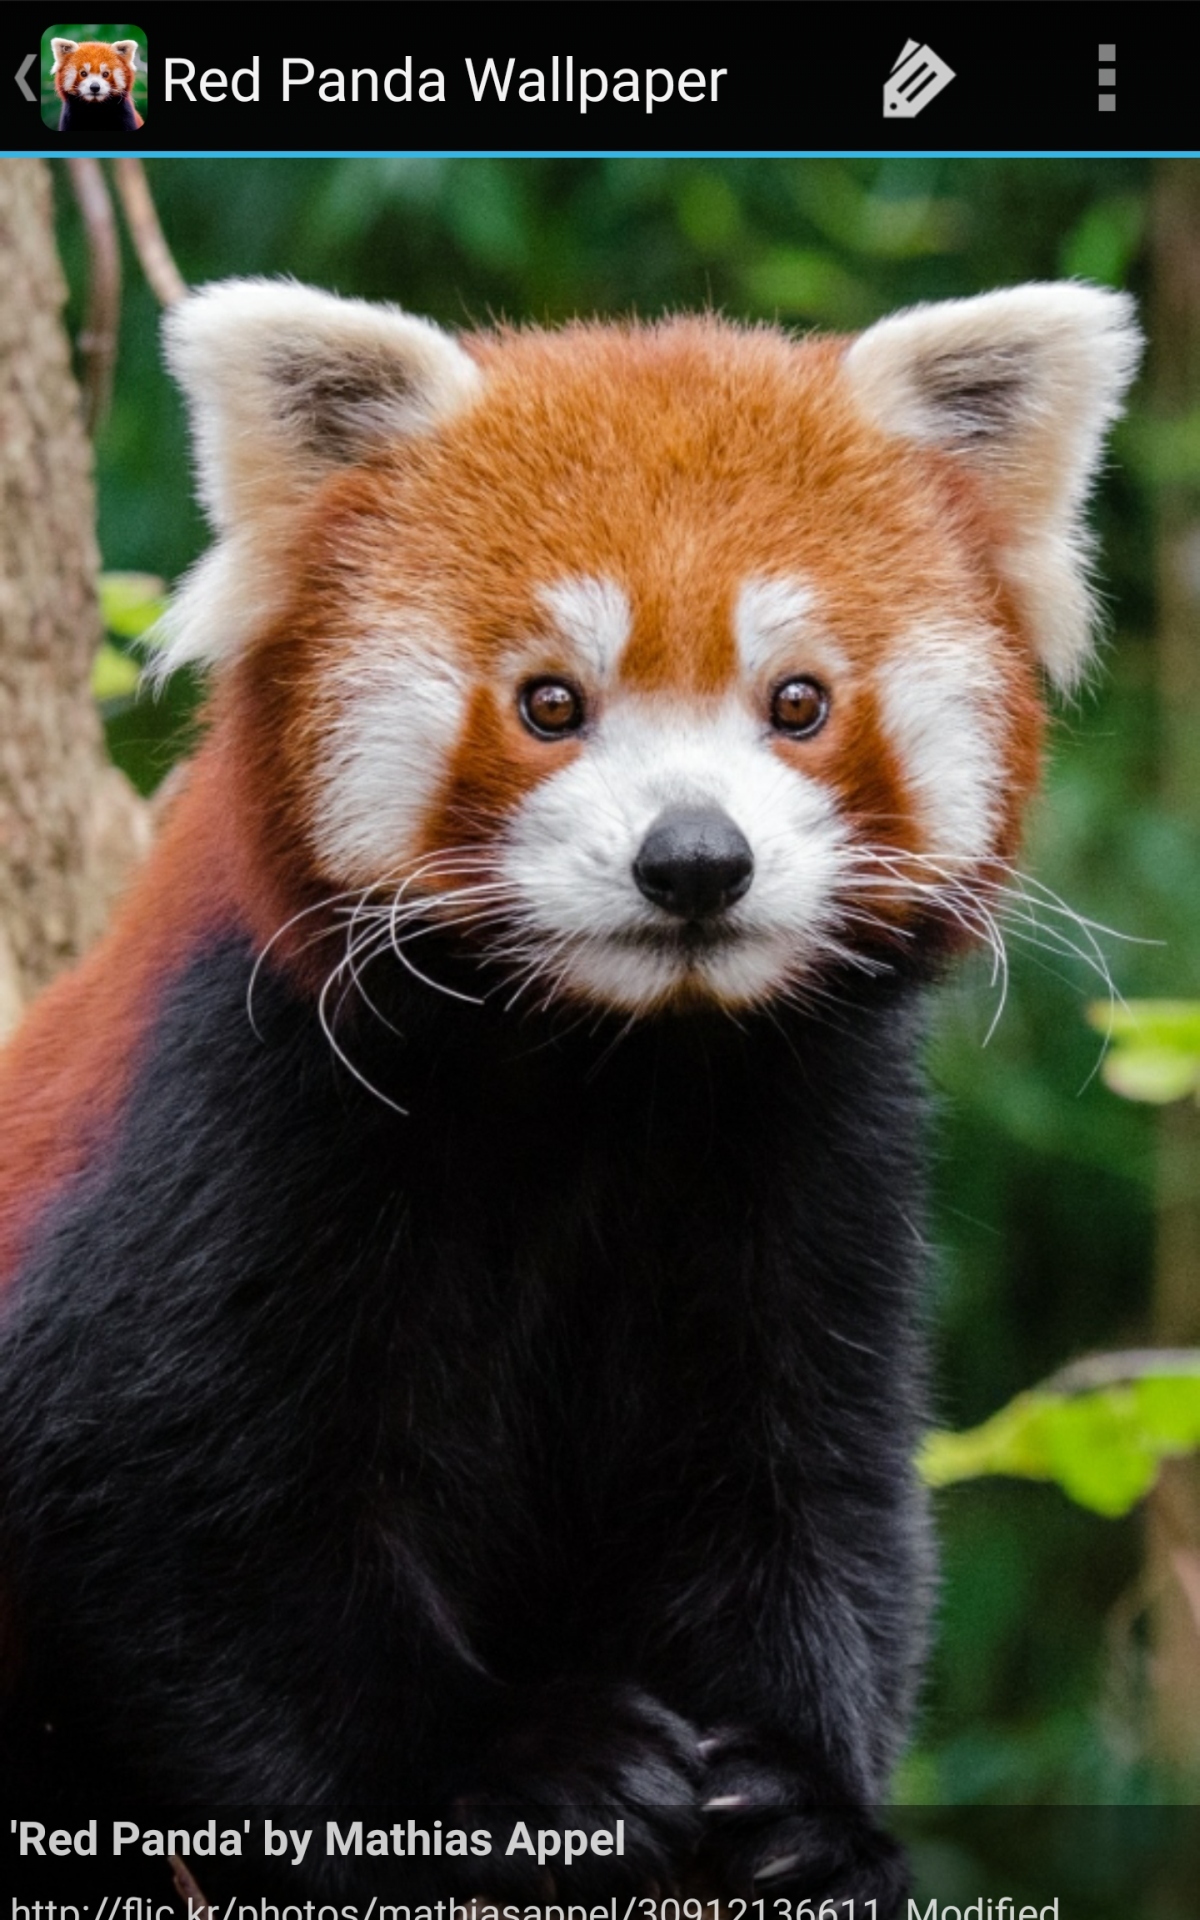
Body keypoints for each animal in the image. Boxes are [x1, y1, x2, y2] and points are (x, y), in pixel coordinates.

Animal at [0, 278, 1144, 1912]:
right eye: (550, 703)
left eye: (800, 702)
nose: (695, 859)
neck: (611, 1071)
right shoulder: (236, 1118)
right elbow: (181, 1526)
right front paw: (519, 1766)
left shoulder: (810, 1153)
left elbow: (806, 1491)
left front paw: (805, 1801)